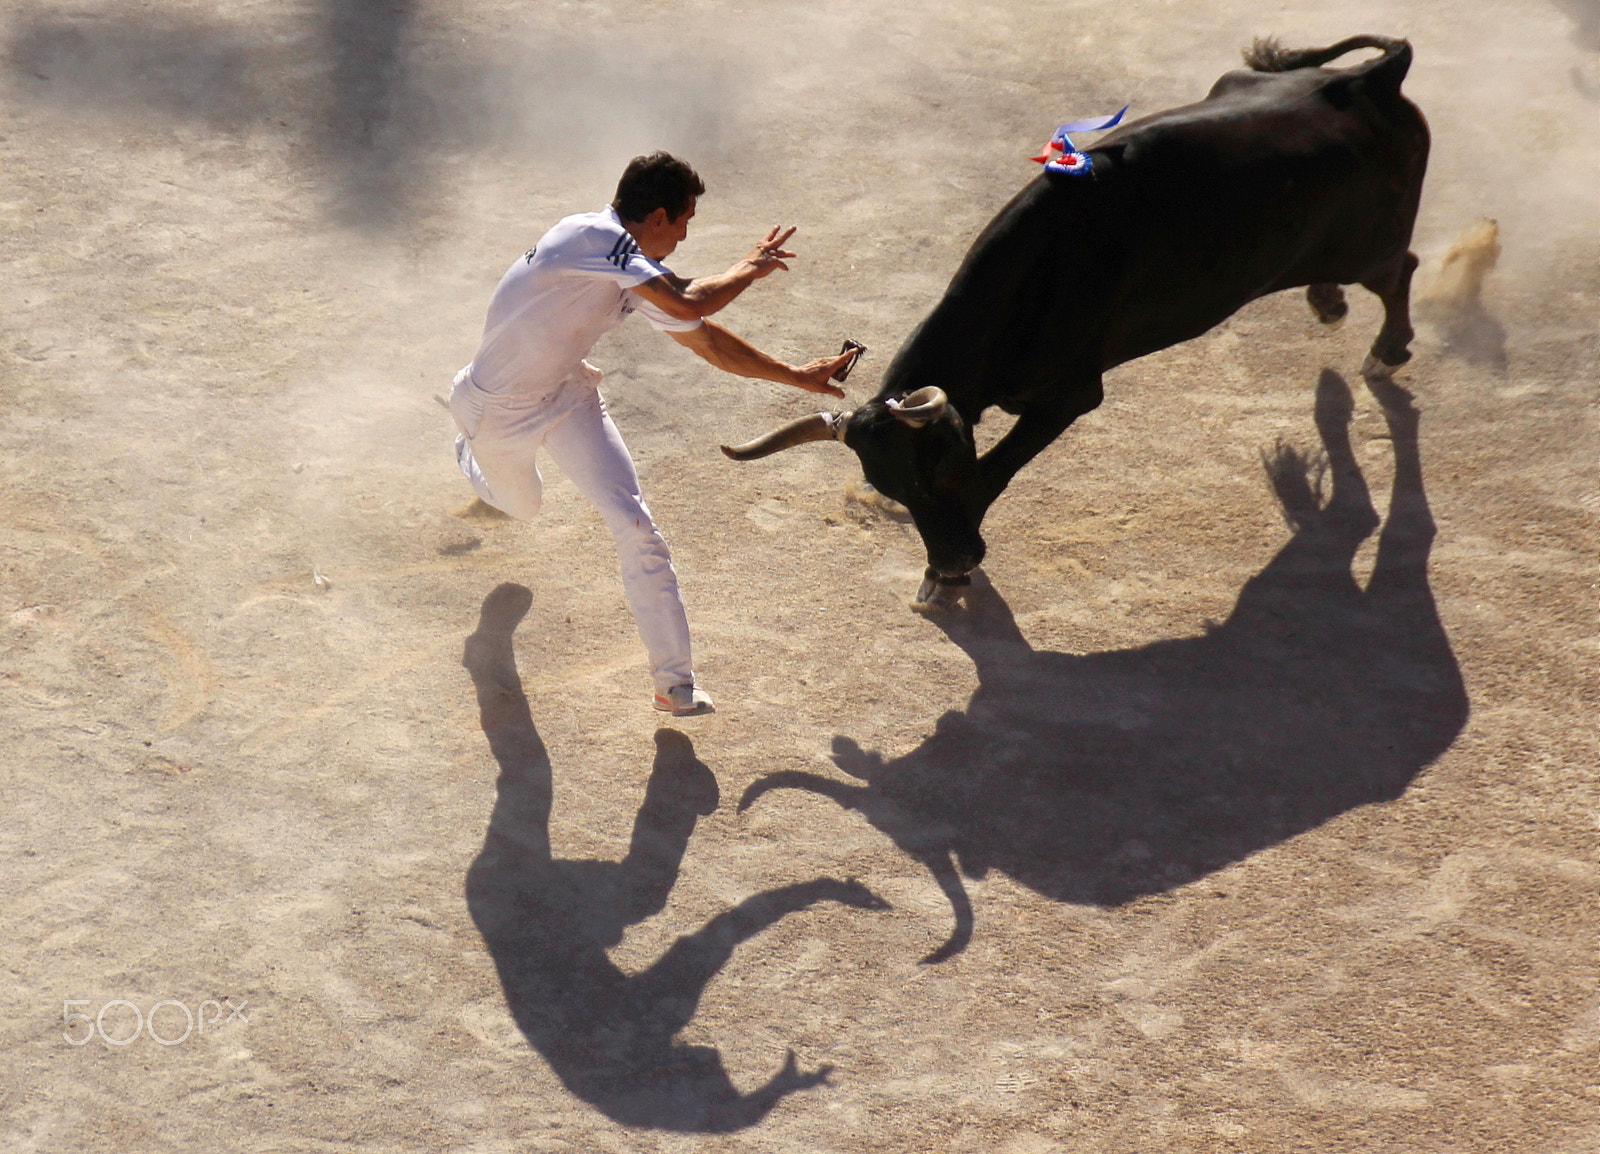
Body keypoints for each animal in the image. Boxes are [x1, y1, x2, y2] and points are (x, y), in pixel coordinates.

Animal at [723, 34, 1427, 598]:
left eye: (942, 468)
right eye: (891, 489)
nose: (952, 559)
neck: (1040, 275)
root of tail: (1368, 78)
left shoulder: (1069, 396)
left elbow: (993, 473)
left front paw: (945, 581)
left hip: (1373, 245)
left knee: (1402, 271)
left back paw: (1385, 352)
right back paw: (1328, 304)